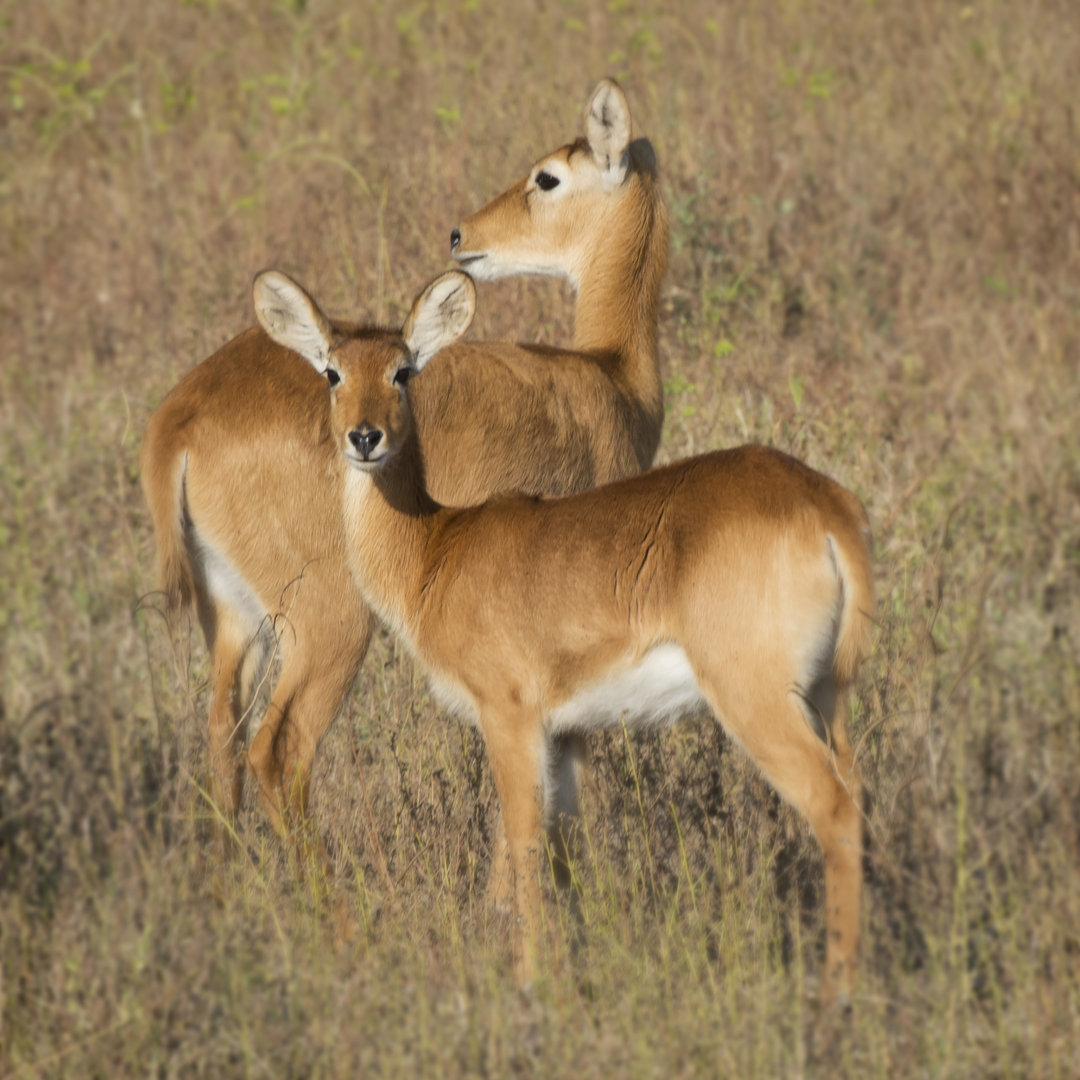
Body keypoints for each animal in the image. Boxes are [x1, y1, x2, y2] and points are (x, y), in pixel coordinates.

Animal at [139, 79, 665, 846]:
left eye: (547, 176)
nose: (461, 237)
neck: (613, 377)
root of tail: (183, 413)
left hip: (235, 619)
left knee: (222, 745)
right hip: (330, 625)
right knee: (279, 751)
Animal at [257, 267, 872, 1002]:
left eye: (402, 371)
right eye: (332, 371)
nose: (365, 437)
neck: (436, 552)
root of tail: (826, 509)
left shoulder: (511, 717)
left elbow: (522, 846)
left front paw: (526, 986)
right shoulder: (567, 733)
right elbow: (560, 855)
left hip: (758, 702)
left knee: (834, 810)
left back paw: (837, 993)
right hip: (830, 698)